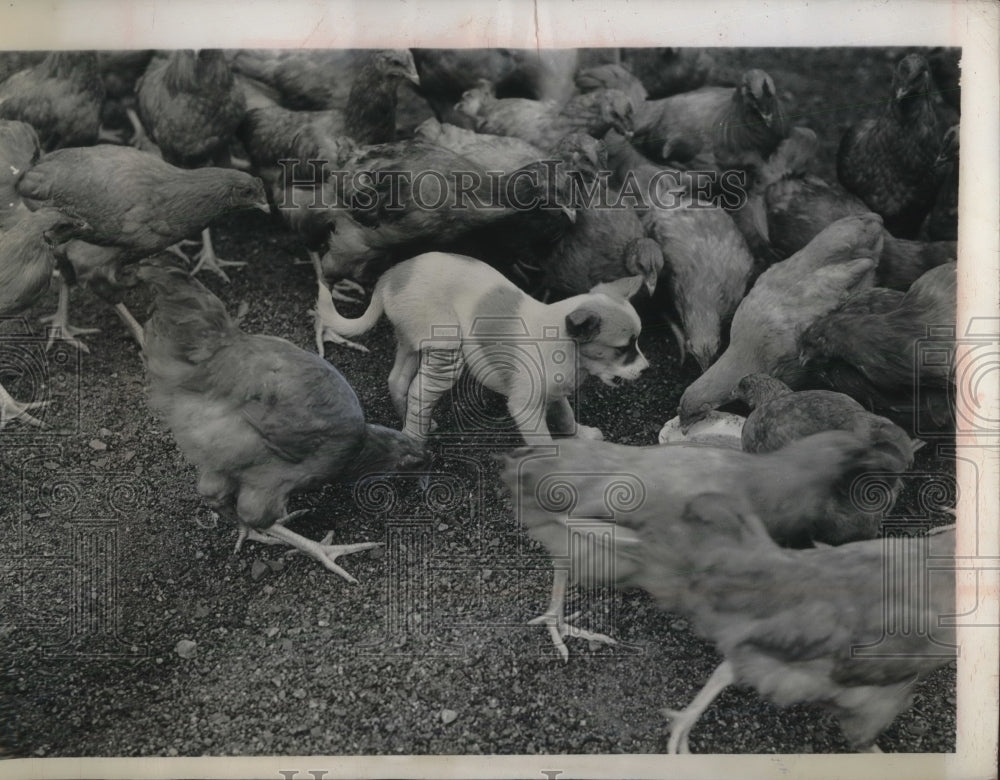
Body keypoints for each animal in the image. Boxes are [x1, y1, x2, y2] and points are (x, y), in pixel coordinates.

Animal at [316, 253, 652, 442]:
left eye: (636, 342)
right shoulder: (525, 408)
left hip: (413, 342)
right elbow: (544, 442)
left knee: (397, 380)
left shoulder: (554, 393)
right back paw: (414, 440)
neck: (565, 345)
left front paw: (581, 434)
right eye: (623, 348)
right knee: (417, 390)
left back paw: (410, 426)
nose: (647, 370)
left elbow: (566, 416)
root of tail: (391, 275)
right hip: (446, 350)